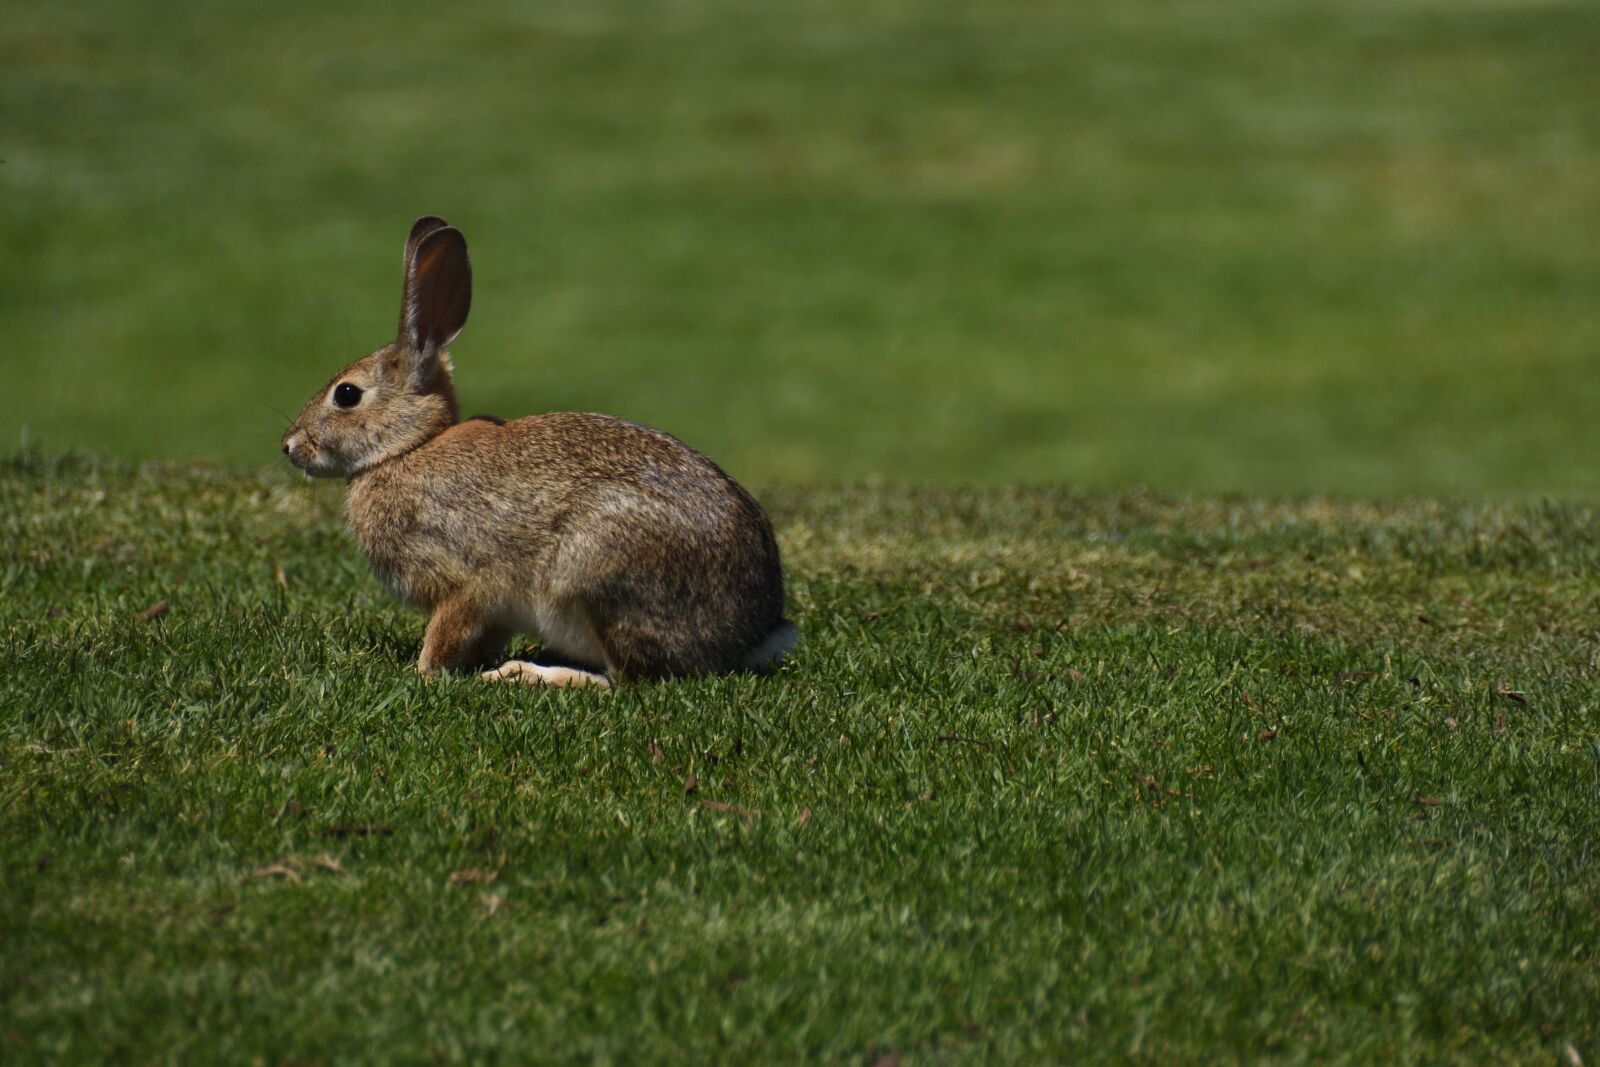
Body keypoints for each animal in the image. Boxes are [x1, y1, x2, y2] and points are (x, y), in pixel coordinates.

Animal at [281, 216, 797, 689]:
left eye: (347, 395)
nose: (289, 446)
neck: (408, 448)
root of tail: (747, 636)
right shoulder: (492, 612)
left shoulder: (465, 580)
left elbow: (446, 632)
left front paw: (422, 674)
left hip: (594, 570)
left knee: (623, 679)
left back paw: (523, 674)